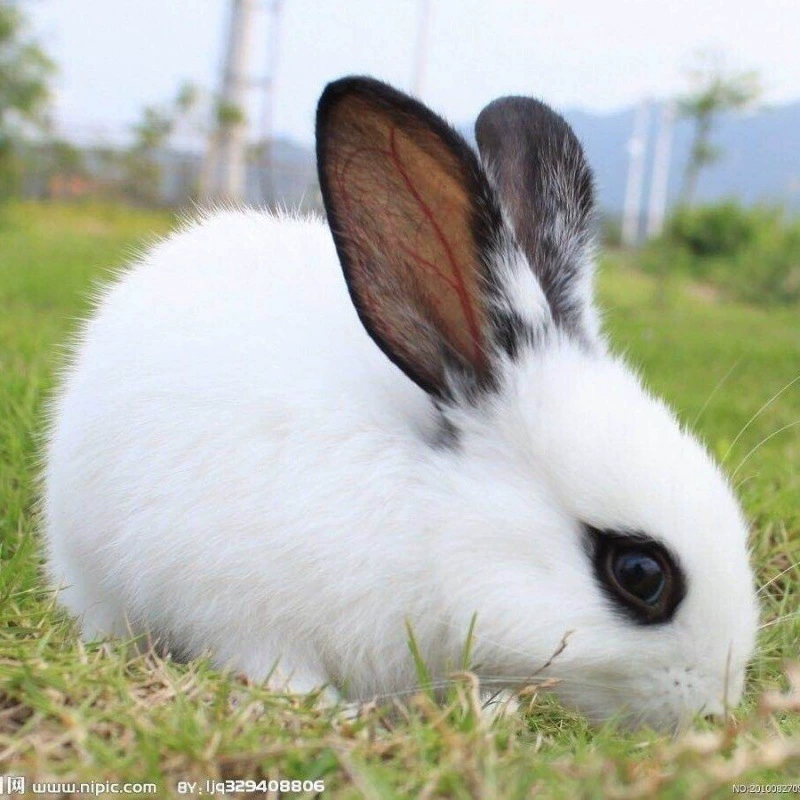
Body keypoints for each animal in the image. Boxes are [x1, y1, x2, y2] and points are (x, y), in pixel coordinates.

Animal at [43, 76, 758, 731]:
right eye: (639, 573)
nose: (716, 707)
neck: (433, 520)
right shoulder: (244, 611)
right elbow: (277, 669)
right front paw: (333, 715)